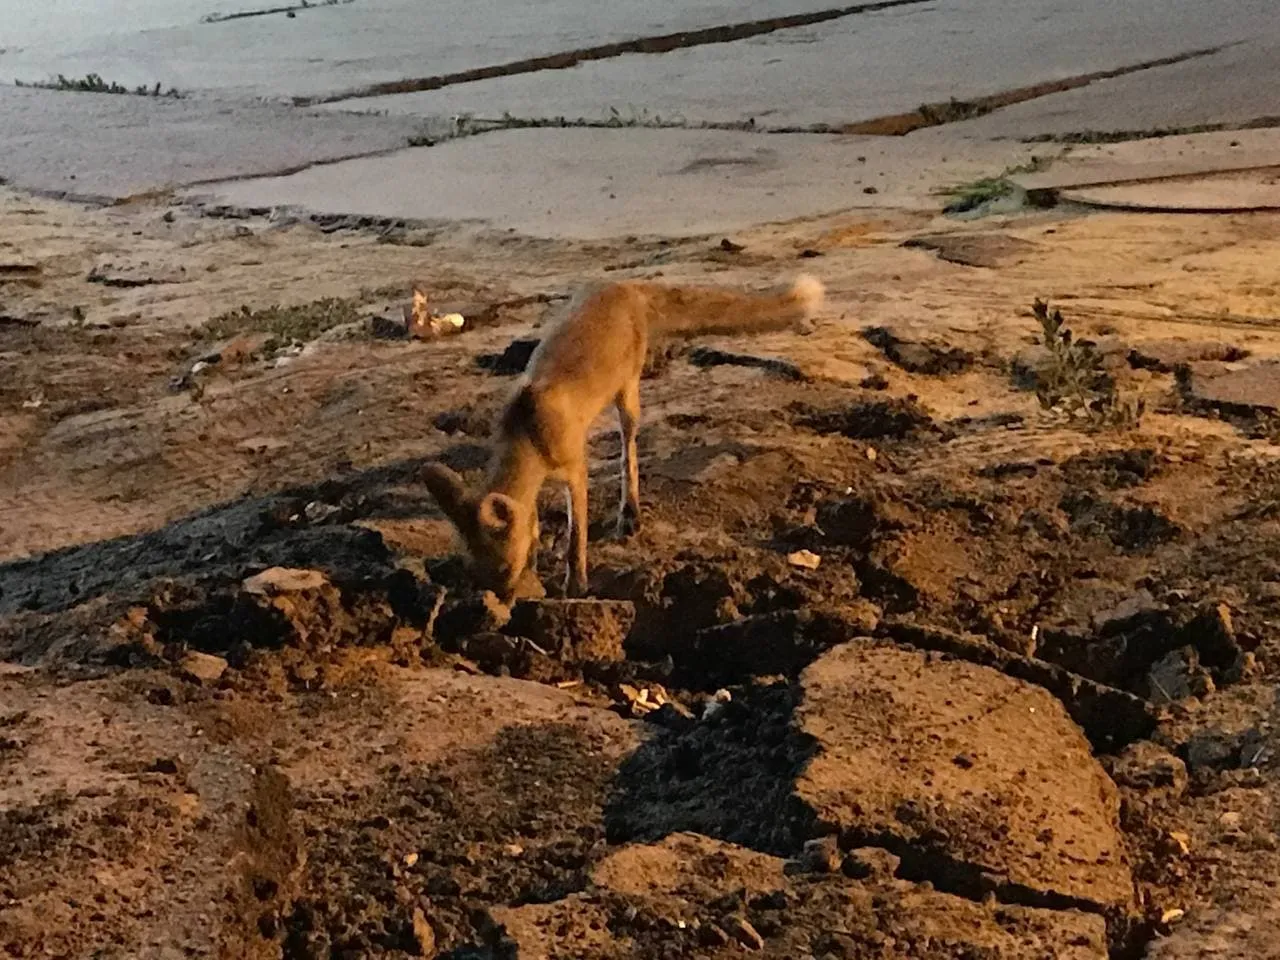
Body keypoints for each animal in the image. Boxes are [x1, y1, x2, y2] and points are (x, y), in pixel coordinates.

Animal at [424, 273, 824, 601]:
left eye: (505, 568)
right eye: (476, 574)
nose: (501, 606)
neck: (527, 431)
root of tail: (624, 286)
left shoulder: (575, 467)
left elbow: (576, 538)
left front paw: (576, 585)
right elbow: (533, 524)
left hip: (628, 391)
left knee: (628, 446)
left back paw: (629, 511)